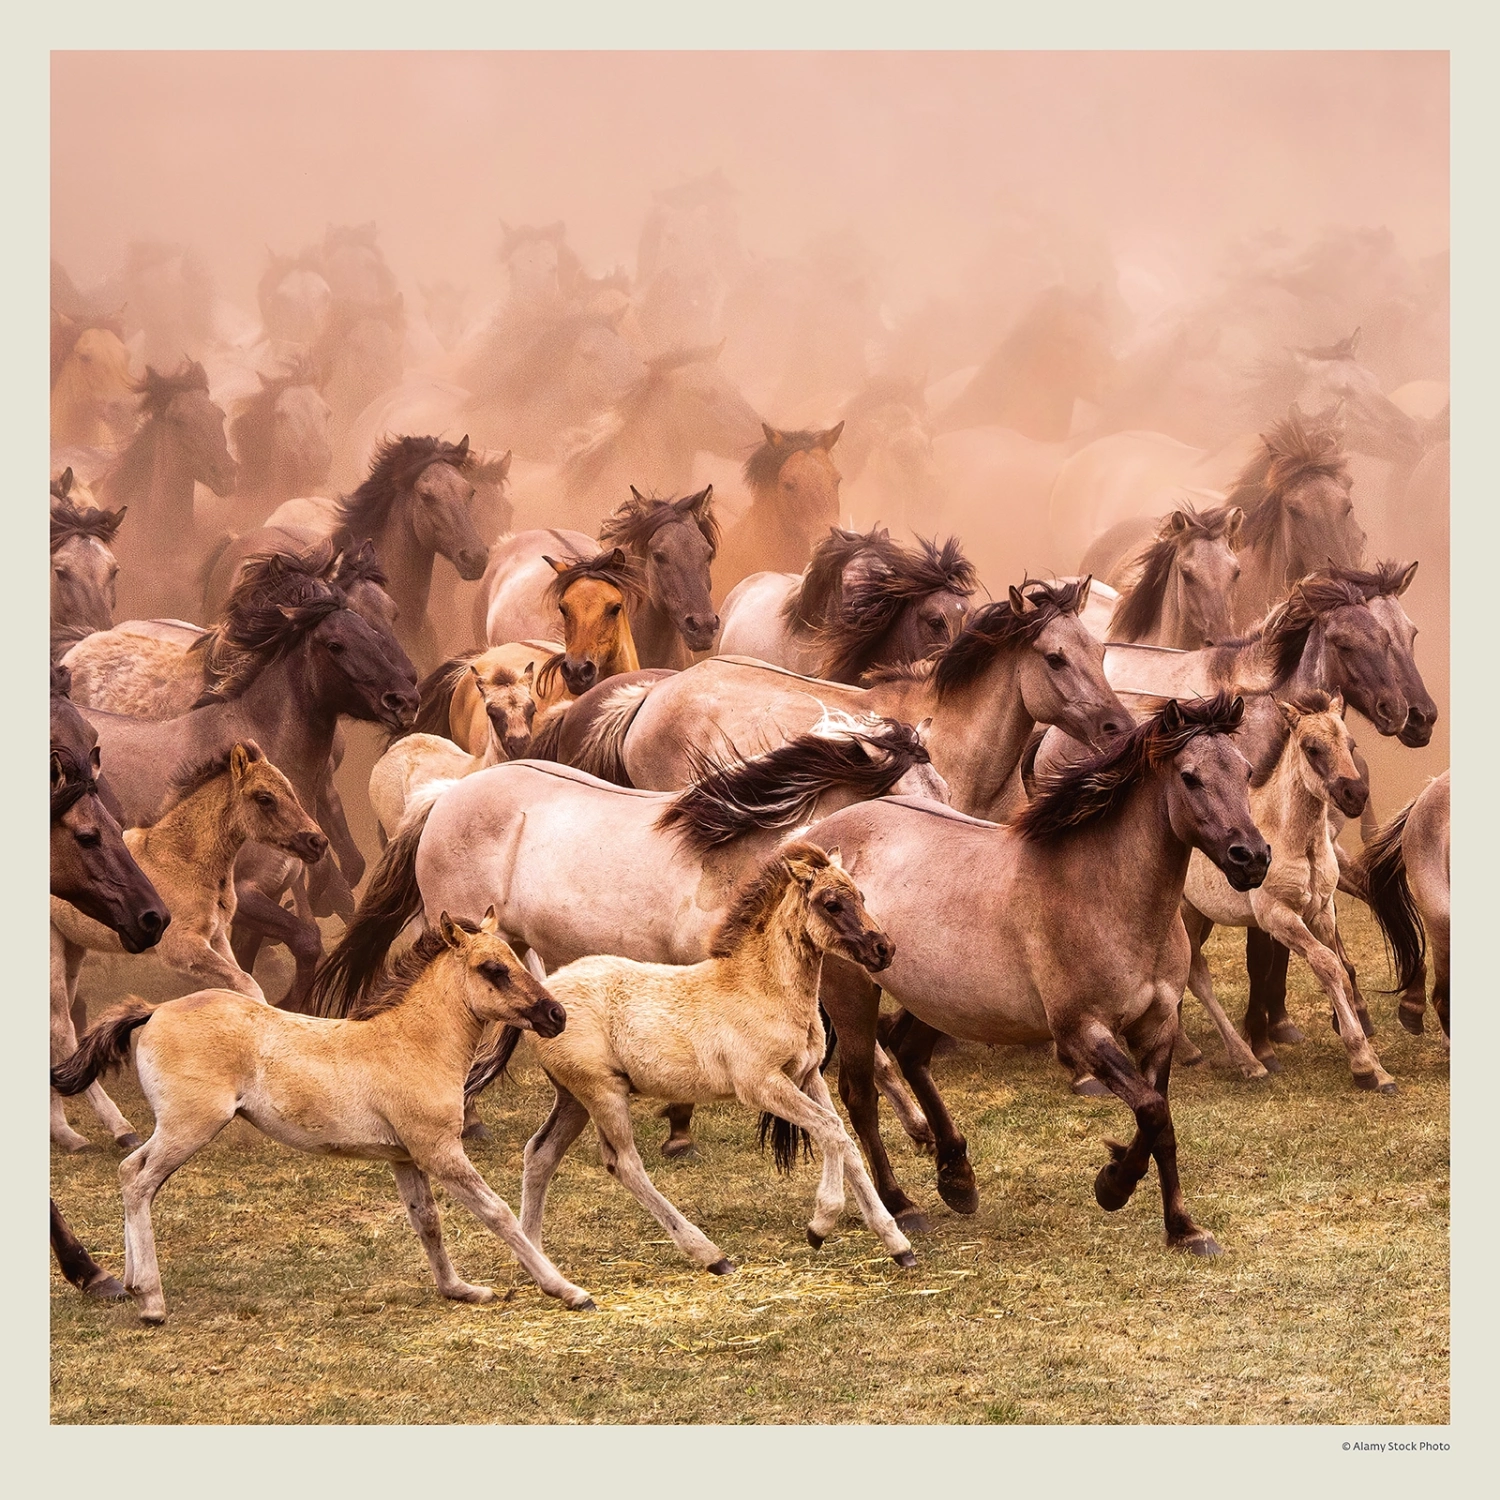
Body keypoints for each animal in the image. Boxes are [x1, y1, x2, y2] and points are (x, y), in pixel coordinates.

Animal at [50, 743, 327, 1152]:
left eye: (290, 789)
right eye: (264, 798)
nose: (317, 842)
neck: (183, 858)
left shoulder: (217, 938)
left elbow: (240, 984)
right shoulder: (181, 947)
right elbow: (247, 985)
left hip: (72, 948)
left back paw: (67, 1131)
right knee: (59, 1028)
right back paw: (104, 1129)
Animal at [51, 913, 594, 1325]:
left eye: (517, 960)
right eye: (492, 968)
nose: (556, 1016)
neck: (413, 1043)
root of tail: (155, 1010)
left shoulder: (404, 1157)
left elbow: (427, 1221)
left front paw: (460, 1290)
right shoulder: (439, 1150)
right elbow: (498, 1214)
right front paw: (567, 1290)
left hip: (173, 1129)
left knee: (128, 1171)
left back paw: (127, 1281)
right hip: (188, 1128)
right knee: (140, 1182)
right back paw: (151, 1301)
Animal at [507, 845, 915, 1274]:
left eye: (862, 897)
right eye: (831, 903)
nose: (884, 949)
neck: (763, 989)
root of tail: (544, 997)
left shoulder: (807, 1077)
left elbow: (844, 1141)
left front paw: (897, 1244)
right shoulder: (761, 1085)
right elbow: (830, 1131)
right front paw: (820, 1225)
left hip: (574, 1099)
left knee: (540, 1154)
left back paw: (536, 1257)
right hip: (602, 1092)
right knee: (625, 1164)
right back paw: (711, 1254)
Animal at [800, 695, 1270, 1243]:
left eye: (1247, 771)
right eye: (1191, 777)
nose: (1252, 858)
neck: (1103, 893)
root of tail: (818, 840)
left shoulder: (1157, 1026)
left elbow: (1160, 1123)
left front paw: (1182, 1228)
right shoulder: (1081, 1031)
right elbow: (1153, 1111)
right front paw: (1113, 1186)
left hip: (946, 997)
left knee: (909, 1052)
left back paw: (957, 1177)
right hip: (852, 996)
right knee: (859, 1094)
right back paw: (901, 1203)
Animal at [1179, 694, 1386, 1087]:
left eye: (1351, 745)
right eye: (1312, 748)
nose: (1356, 795)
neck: (1293, 839)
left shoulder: (1322, 910)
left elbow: (1340, 971)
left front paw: (1368, 1053)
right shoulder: (1278, 916)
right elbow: (1327, 964)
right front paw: (1365, 1064)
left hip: (1199, 914)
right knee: (1193, 974)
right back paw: (1235, 1058)